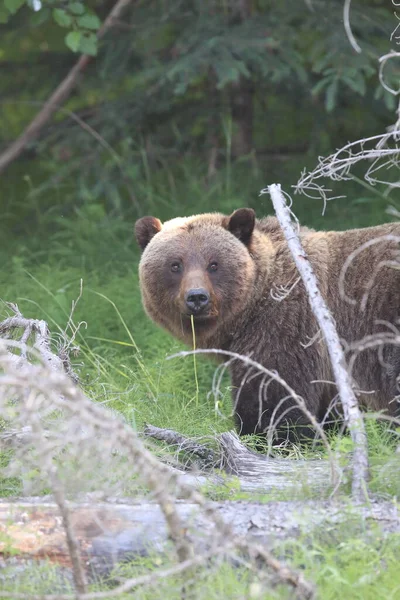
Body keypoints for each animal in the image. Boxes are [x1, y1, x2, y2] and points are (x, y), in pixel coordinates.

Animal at [135, 210, 400, 440]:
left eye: (214, 264)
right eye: (175, 264)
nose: (197, 297)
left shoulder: (286, 327)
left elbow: (274, 395)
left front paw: (265, 436)